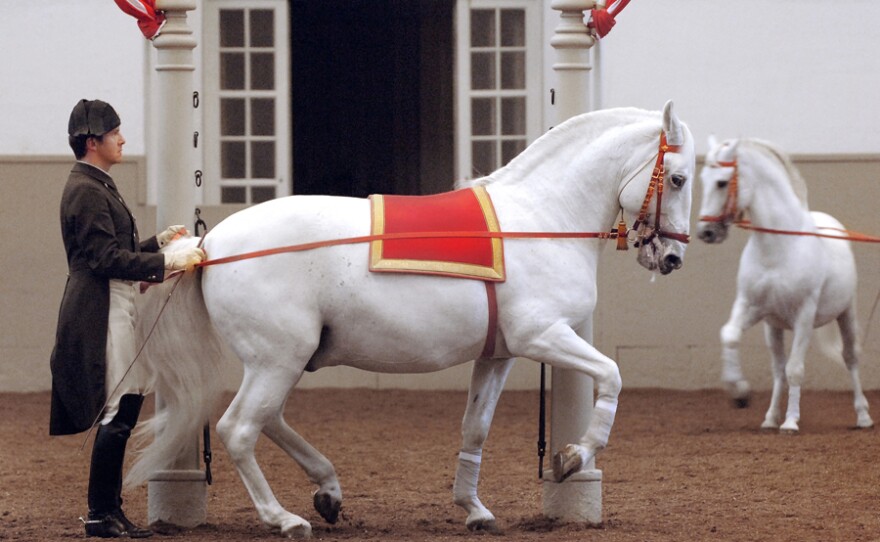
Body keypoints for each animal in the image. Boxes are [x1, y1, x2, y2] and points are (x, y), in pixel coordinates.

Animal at [131, 103, 696, 540]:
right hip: (278, 358)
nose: (672, 258)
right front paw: (574, 457)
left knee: (267, 420)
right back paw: (284, 518)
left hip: (283, 360)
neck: (541, 220)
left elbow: (475, 427)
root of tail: (210, 243)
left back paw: (328, 491)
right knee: (240, 428)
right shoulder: (542, 336)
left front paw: (475, 509)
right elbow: (612, 376)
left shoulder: (499, 354)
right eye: (679, 177)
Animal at [696, 138, 872, 436]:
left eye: (721, 182)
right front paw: (740, 393)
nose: (705, 233)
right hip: (773, 327)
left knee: (850, 358)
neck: (778, 248)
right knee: (777, 368)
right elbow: (730, 335)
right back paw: (769, 419)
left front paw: (790, 423)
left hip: (846, 313)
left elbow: (795, 369)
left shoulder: (804, 315)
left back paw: (863, 416)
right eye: (702, 179)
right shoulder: (751, 307)